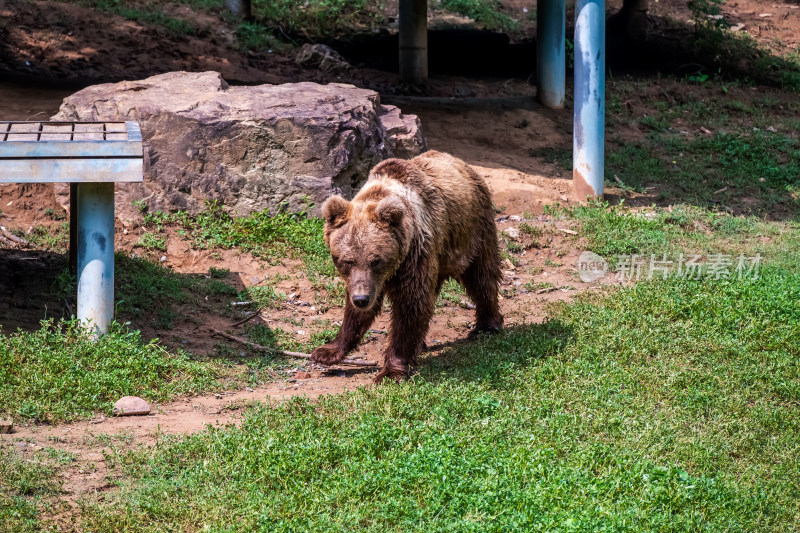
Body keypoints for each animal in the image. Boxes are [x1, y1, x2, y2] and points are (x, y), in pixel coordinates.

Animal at [310, 150, 504, 382]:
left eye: (376, 260)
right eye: (347, 260)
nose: (361, 299)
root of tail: (460, 162)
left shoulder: (415, 256)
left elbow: (411, 305)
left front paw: (392, 371)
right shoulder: (369, 280)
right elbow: (357, 314)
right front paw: (327, 351)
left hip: (473, 230)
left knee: (482, 275)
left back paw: (487, 325)